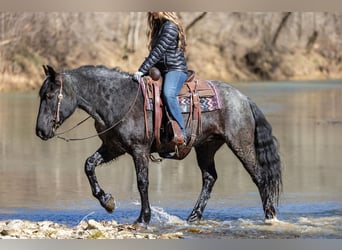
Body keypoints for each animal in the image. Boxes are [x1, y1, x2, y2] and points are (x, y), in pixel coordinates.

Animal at [34, 64, 282, 227]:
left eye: (50, 95)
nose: (40, 131)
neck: (117, 100)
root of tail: (243, 99)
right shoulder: (113, 147)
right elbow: (88, 165)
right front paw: (108, 202)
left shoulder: (139, 150)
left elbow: (142, 182)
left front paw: (143, 218)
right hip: (206, 147)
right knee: (210, 178)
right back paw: (193, 216)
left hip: (240, 144)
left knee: (260, 177)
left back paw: (270, 217)